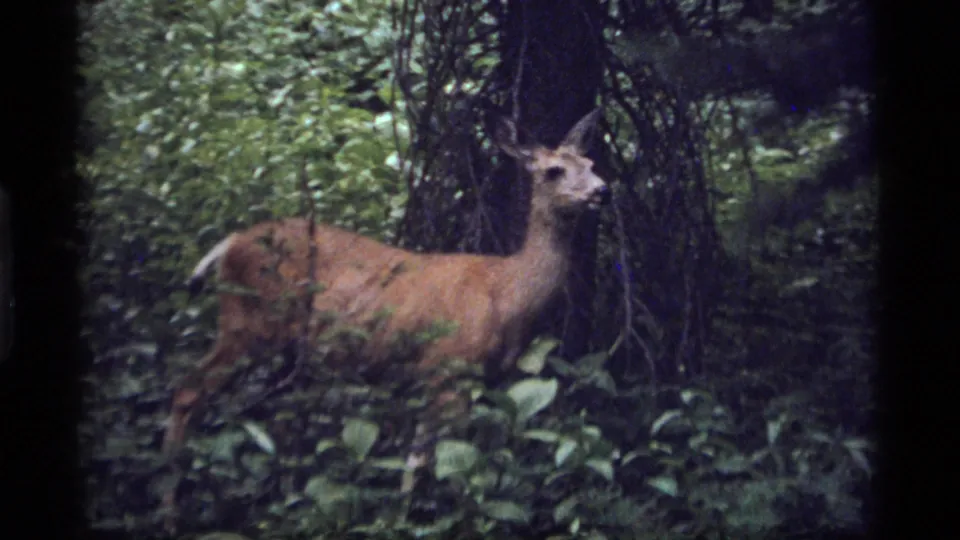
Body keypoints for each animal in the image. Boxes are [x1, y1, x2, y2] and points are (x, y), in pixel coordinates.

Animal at [160, 109, 607, 527]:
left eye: (590, 162)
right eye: (553, 170)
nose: (601, 190)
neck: (507, 293)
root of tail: (230, 243)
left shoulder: (477, 379)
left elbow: (431, 457)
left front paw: (403, 514)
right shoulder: (448, 368)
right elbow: (445, 461)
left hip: (286, 347)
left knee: (279, 416)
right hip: (248, 323)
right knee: (188, 390)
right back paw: (171, 510)